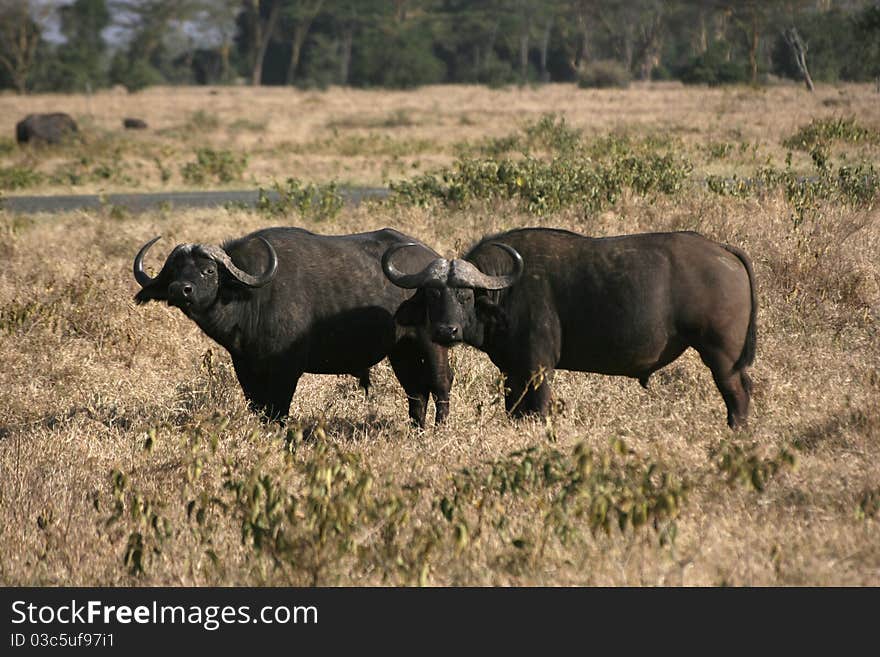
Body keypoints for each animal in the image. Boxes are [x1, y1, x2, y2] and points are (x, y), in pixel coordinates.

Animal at [138, 228, 454, 428]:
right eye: (175, 270)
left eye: (209, 270)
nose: (180, 289)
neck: (251, 298)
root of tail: (432, 260)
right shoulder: (245, 369)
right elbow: (259, 409)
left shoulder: (286, 370)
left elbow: (278, 411)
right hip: (401, 351)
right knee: (416, 391)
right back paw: (417, 430)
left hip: (431, 343)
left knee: (440, 383)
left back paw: (438, 430)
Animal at [384, 228, 756, 428]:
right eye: (432, 295)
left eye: (464, 294)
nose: (445, 332)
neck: (509, 291)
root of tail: (722, 251)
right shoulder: (512, 371)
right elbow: (514, 410)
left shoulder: (539, 368)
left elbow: (538, 408)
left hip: (722, 356)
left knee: (737, 394)